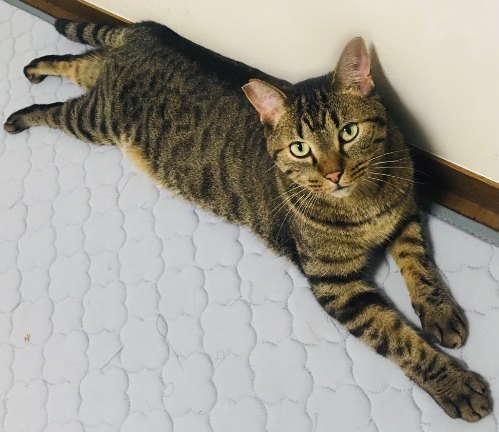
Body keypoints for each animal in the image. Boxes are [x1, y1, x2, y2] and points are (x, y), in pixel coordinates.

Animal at [3, 19, 491, 421]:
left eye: (348, 132)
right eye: (300, 149)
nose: (334, 173)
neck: (364, 204)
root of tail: (144, 32)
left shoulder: (404, 215)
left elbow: (420, 264)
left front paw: (439, 313)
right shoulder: (337, 285)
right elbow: (397, 337)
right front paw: (456, 384)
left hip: (100, 94)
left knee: (80, 62)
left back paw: (35, 68)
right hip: (97, 121)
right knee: (59, 106)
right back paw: (20, 114)